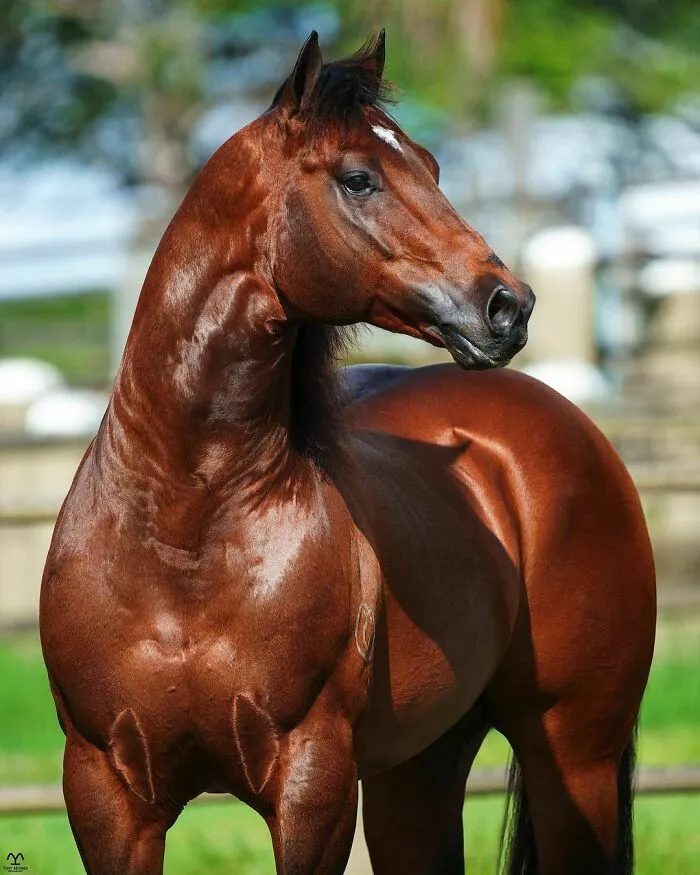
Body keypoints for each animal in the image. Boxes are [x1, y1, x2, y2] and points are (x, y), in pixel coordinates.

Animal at [40, 31, 656, 875]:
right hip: (417, 772)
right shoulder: (107, 794)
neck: (183, 527)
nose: (509, 306)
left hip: (572, 757)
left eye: (431, 165)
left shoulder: (312, 783)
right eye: (358, 178)